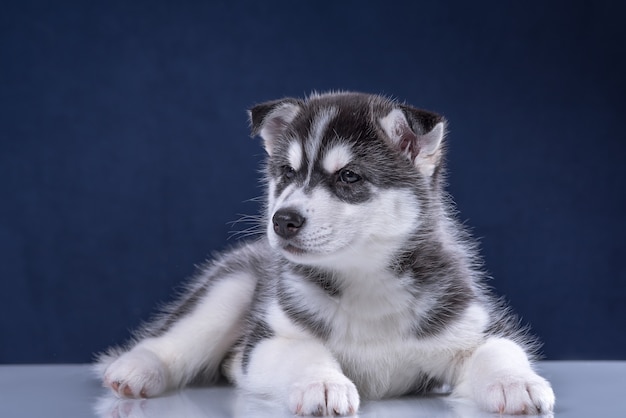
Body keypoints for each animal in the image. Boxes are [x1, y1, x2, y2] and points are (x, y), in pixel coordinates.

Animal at [95, 91, 552, 414]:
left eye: (348, 177)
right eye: (287, 172)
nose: (283, 220)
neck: (366, 282)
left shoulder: (471, 324)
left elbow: (499, 350)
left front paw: (516, 383)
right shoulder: (266, 341)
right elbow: (305, 351)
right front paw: (324, 384)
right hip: (233, 286)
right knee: (176, 334)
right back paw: (136, 368)